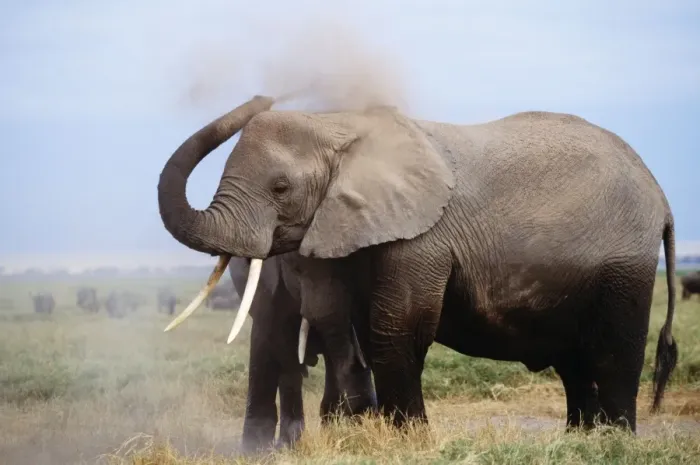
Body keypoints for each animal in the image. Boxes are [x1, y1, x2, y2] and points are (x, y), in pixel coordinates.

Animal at [156, 95, 678, 435]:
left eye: (280, 188)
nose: (266, 93)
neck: (341, 128)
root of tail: (661, 197)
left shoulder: (422, 236)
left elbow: (396, 328)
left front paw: (408, 440)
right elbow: (362, 329)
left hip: (624, 263)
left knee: (615, 353)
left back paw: (612, 441)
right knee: (575, 362)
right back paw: (579, 441)